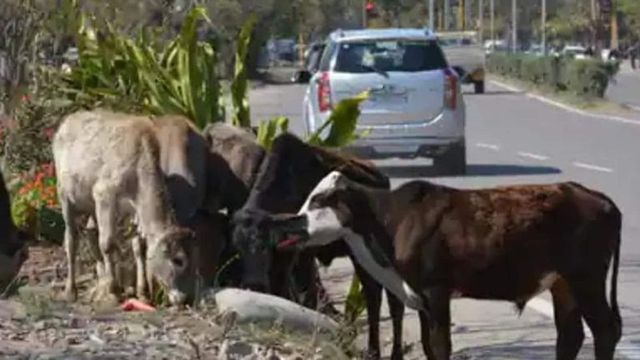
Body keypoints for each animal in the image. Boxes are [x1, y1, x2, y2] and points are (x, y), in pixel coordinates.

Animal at [288, 171, 624, 360]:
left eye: (318, 199)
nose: (292, 223)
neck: (391, 219)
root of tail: (597, 197)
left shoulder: (436, 292)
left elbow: (440, 347)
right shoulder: (420, 299)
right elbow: (428, 346)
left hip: (586, 278)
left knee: (605, 330)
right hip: (562, 283)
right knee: (571, 335)